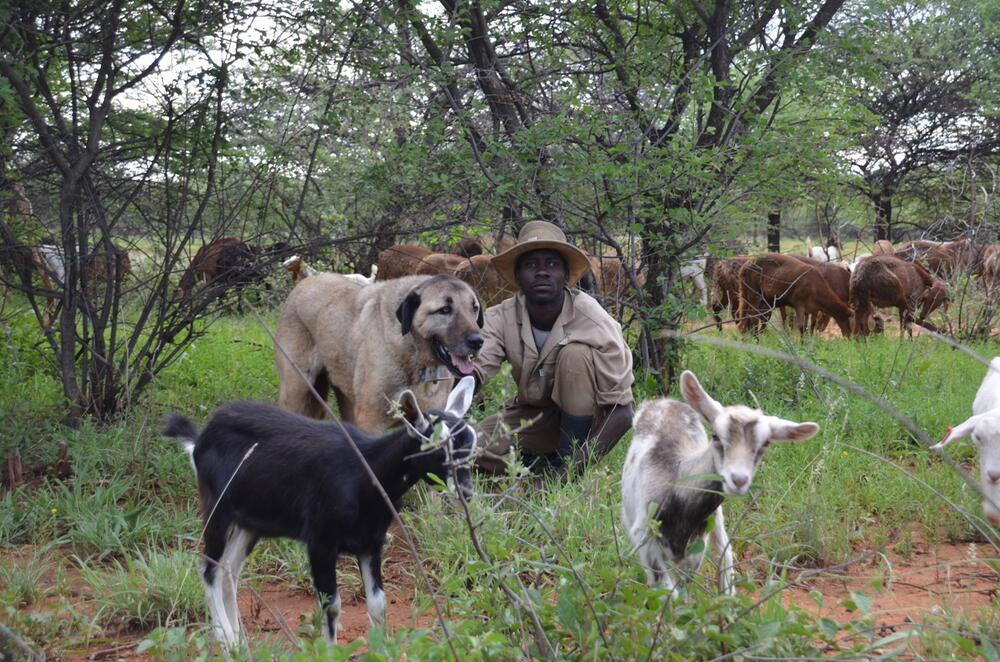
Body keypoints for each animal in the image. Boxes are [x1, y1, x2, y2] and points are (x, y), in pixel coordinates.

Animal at [164, 378, 476, 648]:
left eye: (471, 448)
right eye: (437, 448)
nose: (466, 493)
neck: (366, 473)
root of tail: (200, 440)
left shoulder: (371, 543)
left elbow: (378, 603)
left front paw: (382, 648)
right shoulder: (320, 542)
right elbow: (332, 605)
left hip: (251, 523)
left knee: (229, 570)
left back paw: (240, 643)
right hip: (217, 509)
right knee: (209, 570)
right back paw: (226, 640)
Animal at [274, 272, 484, 434]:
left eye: (474, 309)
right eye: (445, 310)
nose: (478, 342)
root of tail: (303, 283)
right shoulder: (371, 421)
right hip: (296, 389)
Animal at [620, 374, 824, 596]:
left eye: (765, 444)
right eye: (716, 436)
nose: (738, 480)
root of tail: (664, 401)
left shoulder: (695, 550)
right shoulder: (647, 542)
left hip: (716, 521)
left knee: (724, 553)